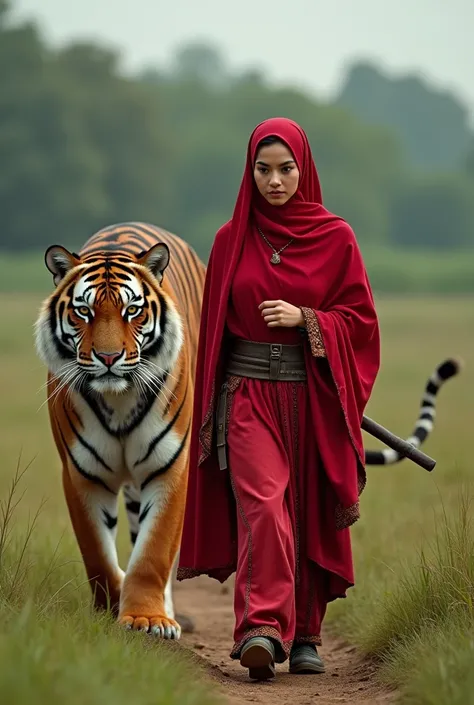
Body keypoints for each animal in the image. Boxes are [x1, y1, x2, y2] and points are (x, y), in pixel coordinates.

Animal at [35, 221, 206, 640]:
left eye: (132, 311)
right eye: (84, 311)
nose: (109, 358)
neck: (119, 400)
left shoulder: (170, 468)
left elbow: (154, 551)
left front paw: (149, 619)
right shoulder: (82, 473)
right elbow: (97, 554)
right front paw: (110, 611)